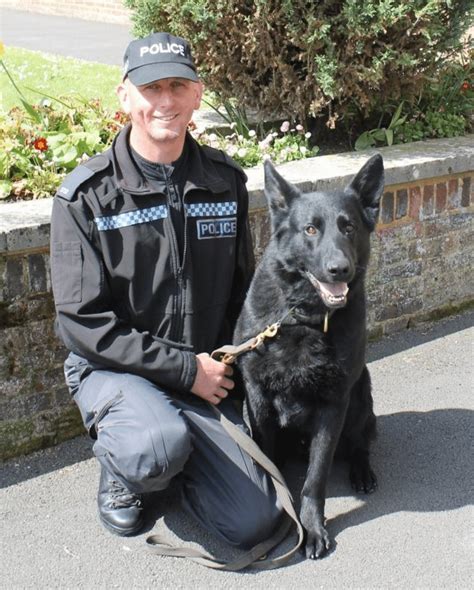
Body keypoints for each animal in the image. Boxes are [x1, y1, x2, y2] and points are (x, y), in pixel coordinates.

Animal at [233, 155, 386, 560]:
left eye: (348, 227)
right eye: (311, 229)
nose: (339, 269)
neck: (302, 318)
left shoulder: (334, 404)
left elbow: (315, 479)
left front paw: (312, 527)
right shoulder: (257, 396)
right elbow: (270, 461)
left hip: (360, 395)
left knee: (361, 442)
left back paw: (362, 471)